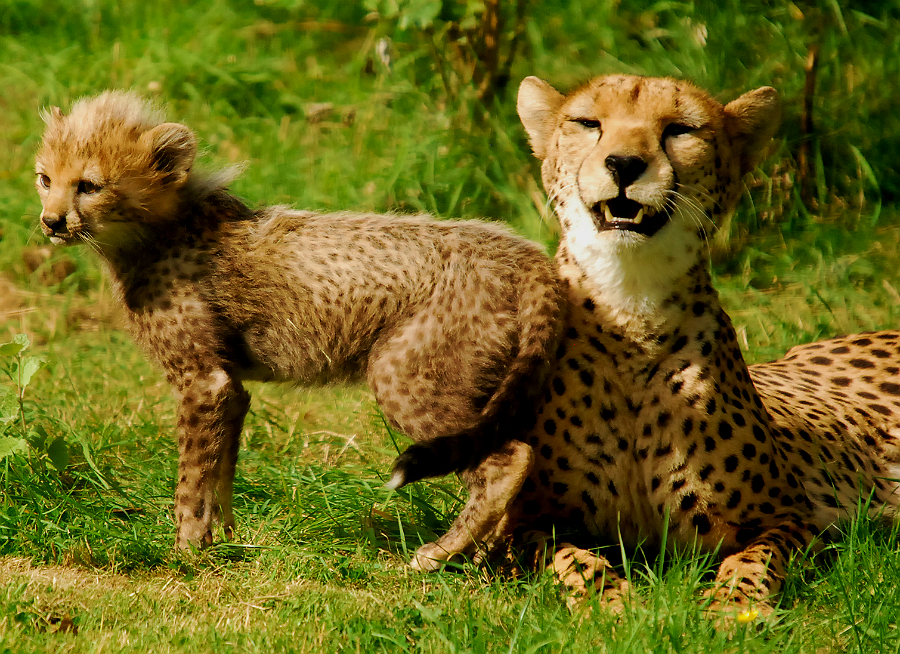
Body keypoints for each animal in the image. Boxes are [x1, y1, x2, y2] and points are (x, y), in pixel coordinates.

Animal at [33, 90, 566, 566]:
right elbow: (221, 469)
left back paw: (438, 554)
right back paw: (482, 557)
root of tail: (523, 252)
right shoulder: (230, 385)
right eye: (45, 178)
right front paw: (223, 540)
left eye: (89, 185)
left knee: (508, 459)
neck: (158, 230)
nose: (51, 221)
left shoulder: (204, 380)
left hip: (404, 375)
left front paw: (184, 552)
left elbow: (192, 478)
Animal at [469, 73, 900, 619]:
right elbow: (571, 558)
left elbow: (753, 559)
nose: (624, 164)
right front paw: (611, 603)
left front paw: (732, 609)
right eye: (588, 123)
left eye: (680, 130)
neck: (630, 306)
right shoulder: (518, 526)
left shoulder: (789, 516)